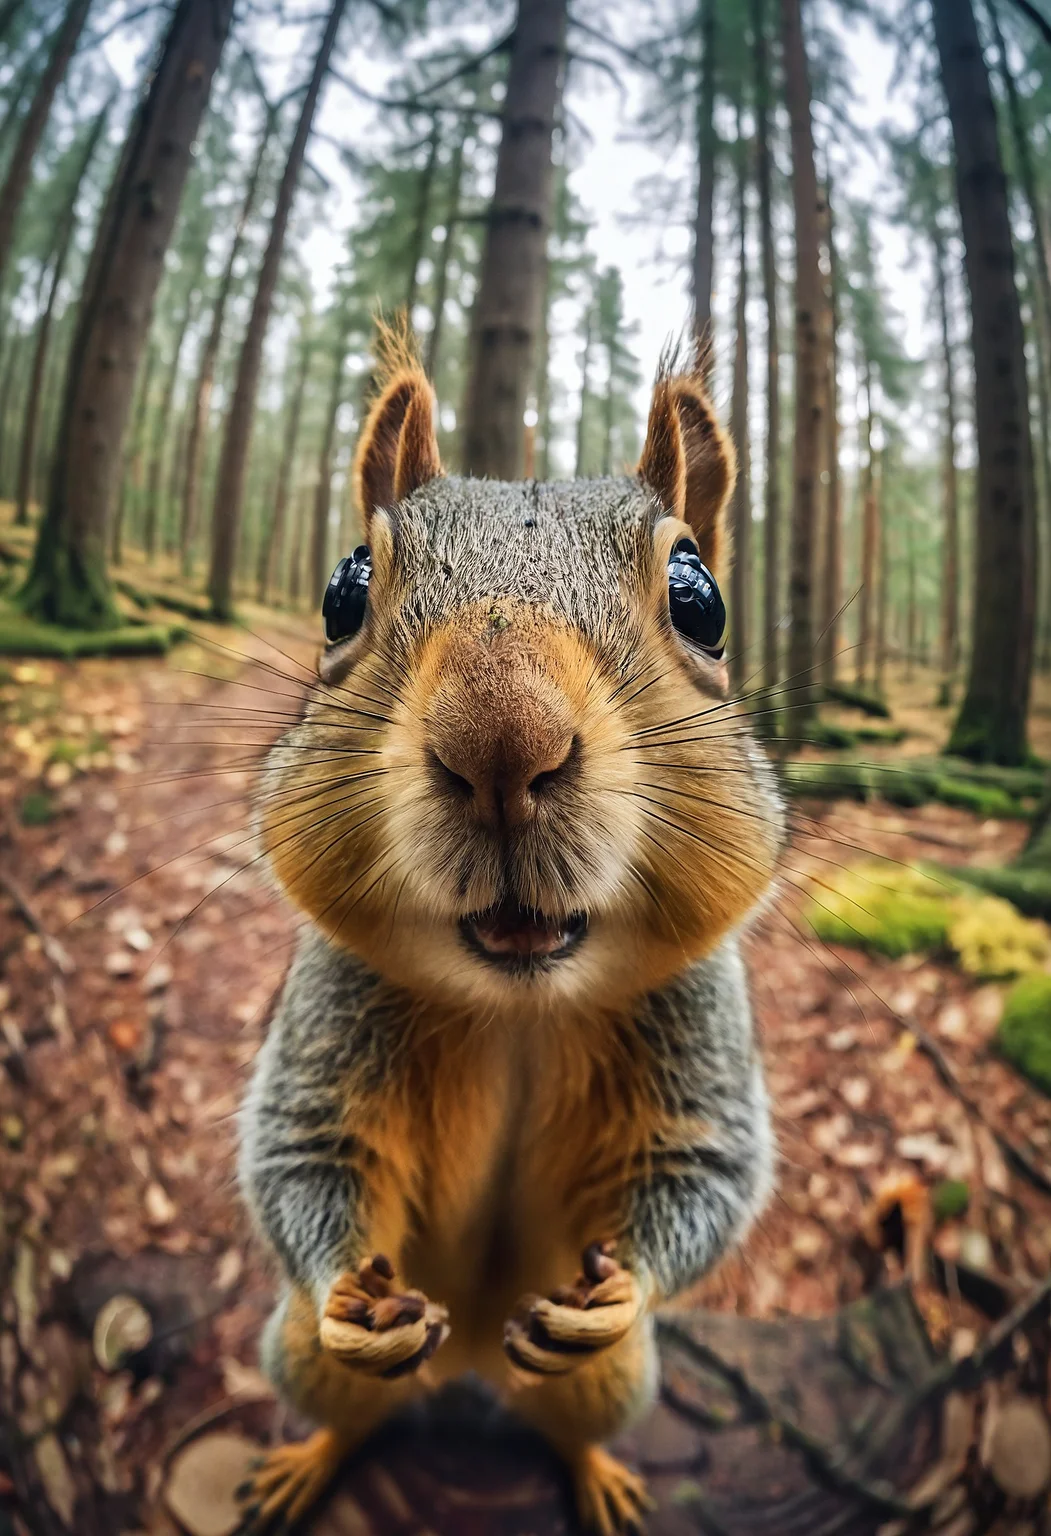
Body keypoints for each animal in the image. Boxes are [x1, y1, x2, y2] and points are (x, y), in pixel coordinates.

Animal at [235, 327, 785, 1535]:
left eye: (701, 599)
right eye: (343, 590)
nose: (500, 734)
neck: (516, 1006)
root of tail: (473, 1356)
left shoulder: (702, 1024)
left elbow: (707, 1169)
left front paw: (620, 1288)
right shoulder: (327, 1013)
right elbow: (301, 1148)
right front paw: (345, 1288)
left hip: (613, 1379)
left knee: (571, 1409)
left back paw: (599, 1475)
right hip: (296, 1352)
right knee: (346, 1401)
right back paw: (310, 1458)